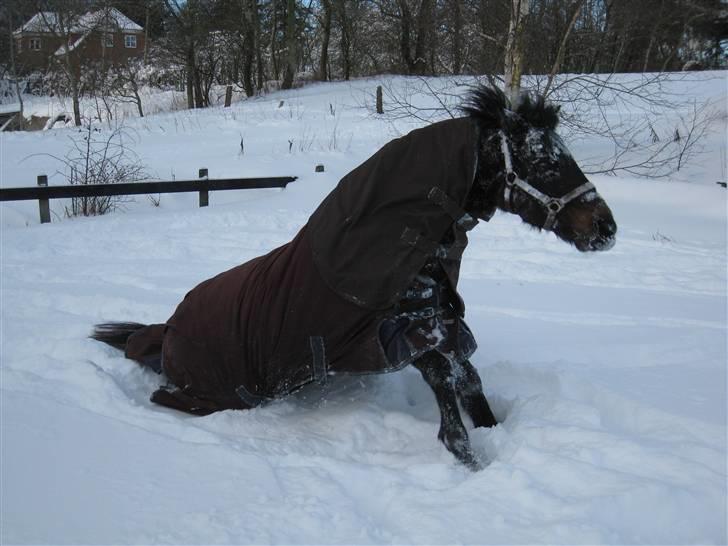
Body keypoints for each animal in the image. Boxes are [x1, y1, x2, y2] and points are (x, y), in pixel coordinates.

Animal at [89, 85, 616, 468]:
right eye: (543, 160)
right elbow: (450, 401)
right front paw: (469, 462)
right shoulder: (407, 335)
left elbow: (470, 384)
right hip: (212, 393)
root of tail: (167, 331)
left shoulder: (440, 322)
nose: (606, 228)